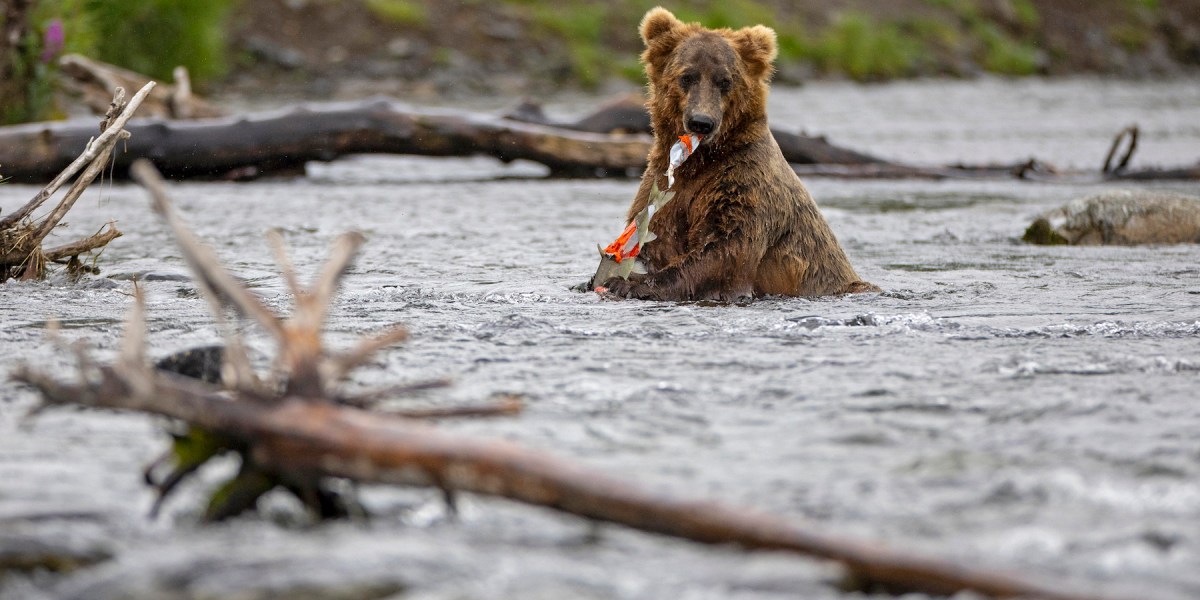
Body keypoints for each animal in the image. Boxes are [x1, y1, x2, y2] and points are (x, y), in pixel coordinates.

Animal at [598, 7, 877, 301]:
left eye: (725, 81)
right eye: (687, 76)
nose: (701, 122)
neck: (699, 161)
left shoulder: (744, 183)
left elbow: (724, 249)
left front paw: (628, 283)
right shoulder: (662, 185)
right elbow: (659, 234)